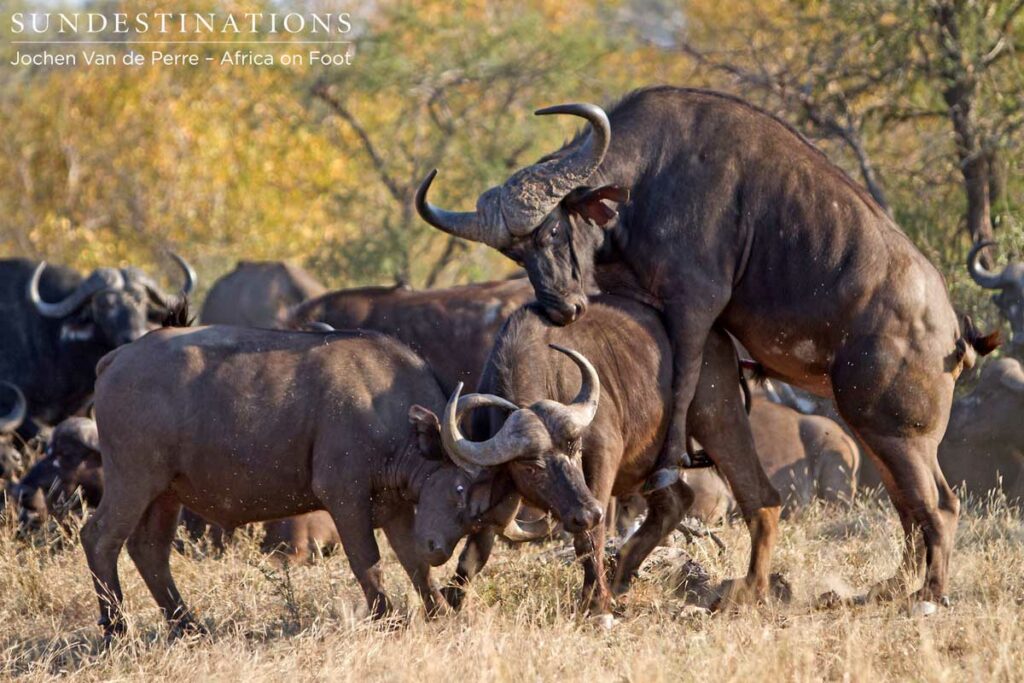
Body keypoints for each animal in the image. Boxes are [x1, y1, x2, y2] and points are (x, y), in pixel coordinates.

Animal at [81, 324, 595, 639]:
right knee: (100, 538)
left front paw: (436, 614)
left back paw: (189, 626)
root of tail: (115, 359)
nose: (588, 513)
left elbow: (413, 565)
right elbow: (368, 562)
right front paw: (388, 619)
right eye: (461, 490)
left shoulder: (395, 507)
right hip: (133, 479)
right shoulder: (345, 499)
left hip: (166, 493)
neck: (382, 408)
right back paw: (117, 629)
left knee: (149, 551)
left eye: (574, 451)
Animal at [414, 296, 779, 615]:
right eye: (531, 466)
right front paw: (452, 597)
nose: (586, 512)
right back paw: (622, 575)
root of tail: (720, 340)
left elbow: (591, 537)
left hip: (718, 417)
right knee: (677, 500)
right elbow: (477, 548)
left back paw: (750, 591)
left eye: (574, 449)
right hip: (653, 463)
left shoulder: (604, 457)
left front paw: (595, 601)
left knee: (761, 497)